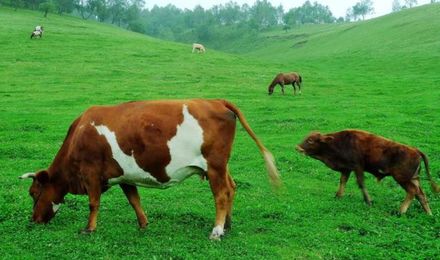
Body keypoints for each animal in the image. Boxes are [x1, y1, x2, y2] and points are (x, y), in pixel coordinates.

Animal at [296, 129, 440, 214]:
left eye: (310, 140)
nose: (297, 147)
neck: (336, 142)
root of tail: (416, 150)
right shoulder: (347, 169)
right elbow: (343, 181)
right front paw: (338, 196)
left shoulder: (357, 167)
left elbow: (361, 183)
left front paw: (368, 201)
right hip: (413, 179)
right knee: (421, 194)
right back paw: (429, 213)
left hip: (402, 178)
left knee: (412, 192)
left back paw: (400, 211)